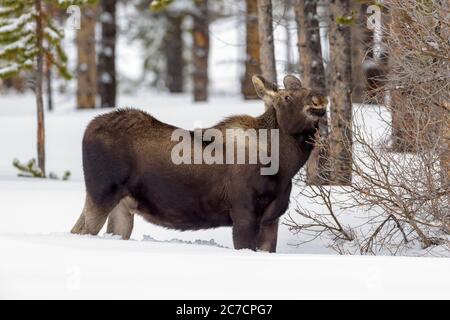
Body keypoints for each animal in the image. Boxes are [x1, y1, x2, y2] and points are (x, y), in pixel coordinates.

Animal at [72, 75, 328, 252]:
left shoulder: (272, 218)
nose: (319, 98)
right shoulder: (244, 212)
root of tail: (87, 129)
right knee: (81, 230)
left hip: (123, 205)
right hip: (101, 193)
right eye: (287, 97)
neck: (284, 167)